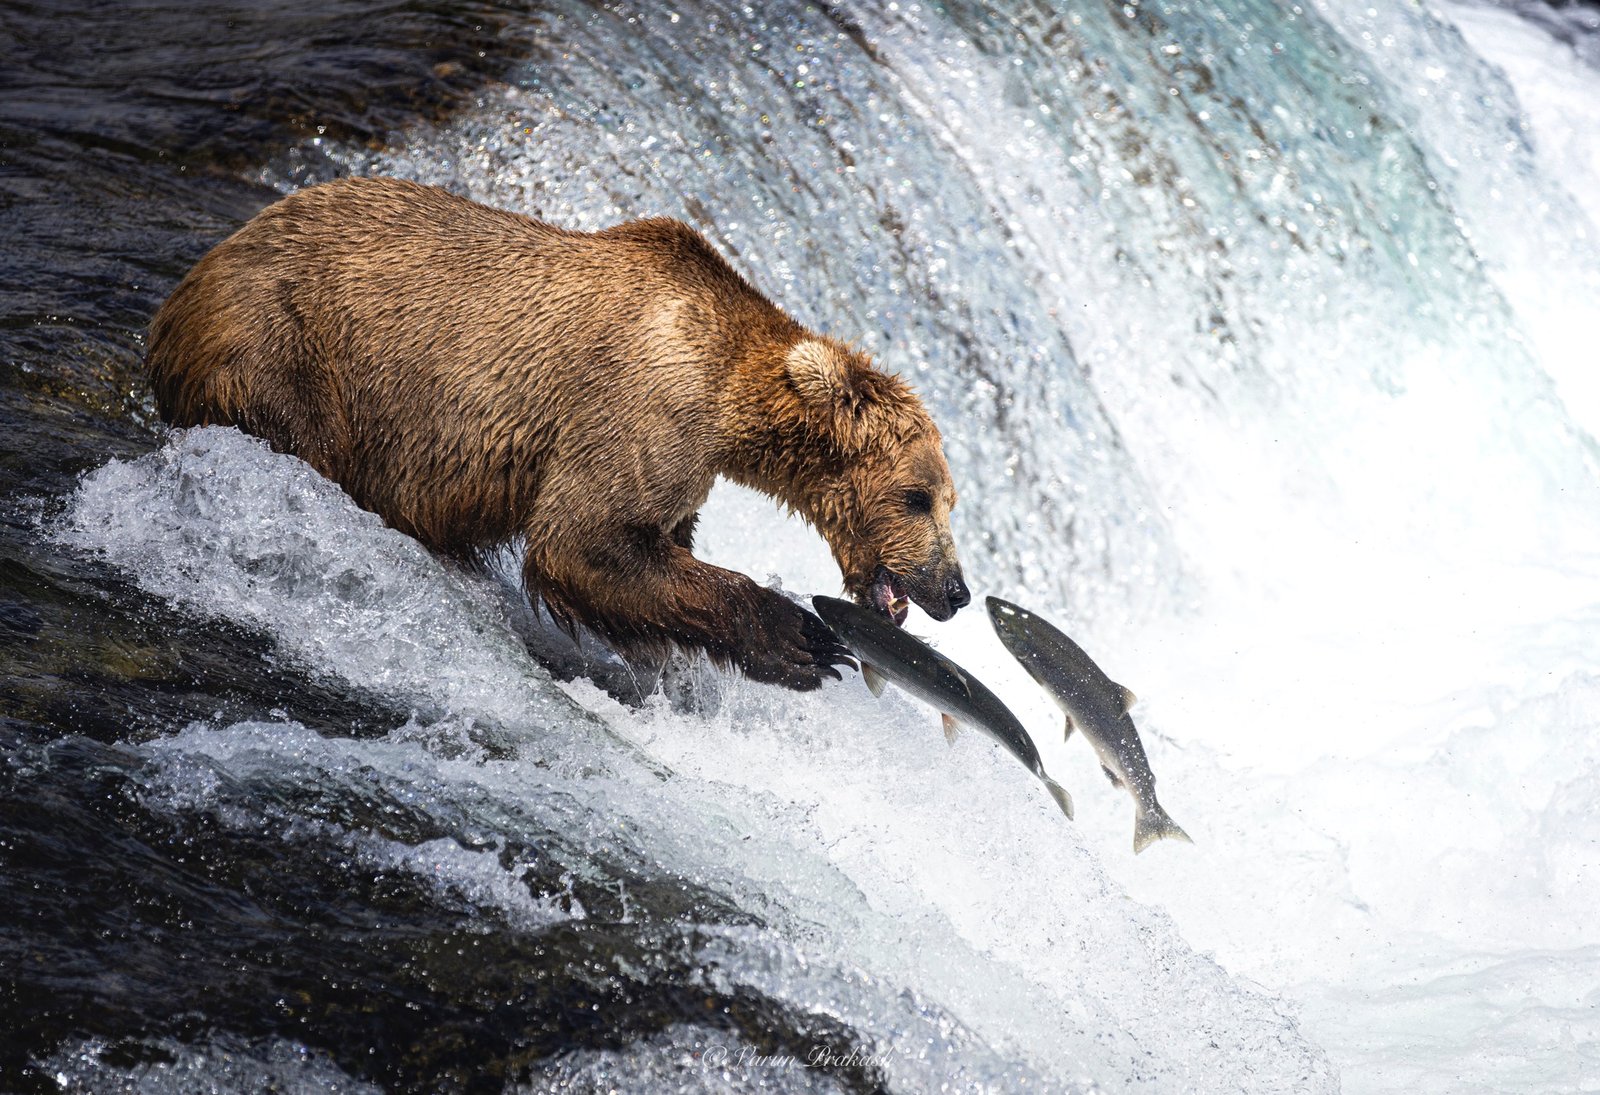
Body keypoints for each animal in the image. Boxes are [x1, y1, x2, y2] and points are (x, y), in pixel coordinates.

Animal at [145, 176, 970, 690]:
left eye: (948, 500)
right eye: (918, 495)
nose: (955, 589)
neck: (731, 404)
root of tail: (189, 283)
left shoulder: (681, 468)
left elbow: (650, 551)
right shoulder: (639, 407)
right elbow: (585, 540)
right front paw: (803, 640)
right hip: (288, 351)